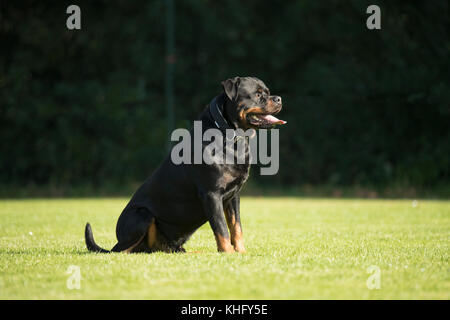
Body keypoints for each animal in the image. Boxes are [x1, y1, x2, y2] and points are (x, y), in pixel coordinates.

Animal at [84, 76, 284, 254]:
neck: (231, 137)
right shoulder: (211, 194)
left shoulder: (233, 196)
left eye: (268, 92)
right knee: (122, 250)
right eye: (257, 94)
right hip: (142, 215)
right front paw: (227, 253)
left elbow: (236, 227)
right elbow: (221, 228)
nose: (279, 99)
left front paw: (241, 252)